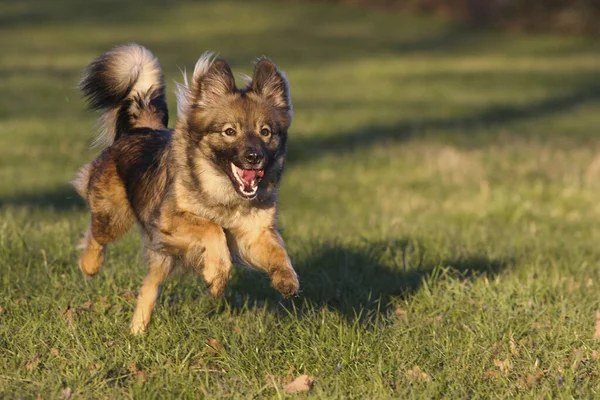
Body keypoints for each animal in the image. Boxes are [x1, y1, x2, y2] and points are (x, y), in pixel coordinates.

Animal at [74, 43, 298, 334]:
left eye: (265, 131)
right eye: (229, 131)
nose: (254, 157)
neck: (224, 195)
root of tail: (141, 129)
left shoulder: (254, 234)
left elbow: (278, 252)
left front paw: (286, 279)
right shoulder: (168, 220)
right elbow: (213, 229)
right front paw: (216, 276)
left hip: (163, 255)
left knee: (149, 286)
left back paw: (137, 330)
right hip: (114, 217)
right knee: (96, 236)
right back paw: (89, 266)